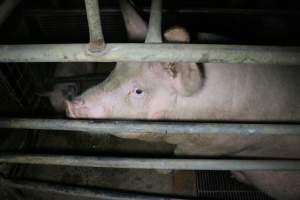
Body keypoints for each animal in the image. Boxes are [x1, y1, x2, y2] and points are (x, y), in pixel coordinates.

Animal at [65, 0, 300, 199]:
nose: (71, 104)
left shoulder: (218, 144)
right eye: (114, 69)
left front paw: (162, 171)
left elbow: (181, 154)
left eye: (139, 91)